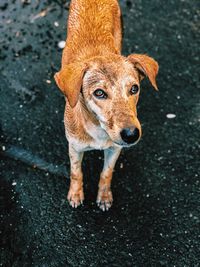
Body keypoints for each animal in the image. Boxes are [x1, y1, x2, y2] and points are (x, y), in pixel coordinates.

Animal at [54, 0, 159, 211]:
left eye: (134, 88)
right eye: (99, 93)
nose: (131, 134)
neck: (98, 129)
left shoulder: (115, 149)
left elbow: (106, 173)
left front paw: (104, 197)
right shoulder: (74, 147)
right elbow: (76, 173)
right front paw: (75, 194)